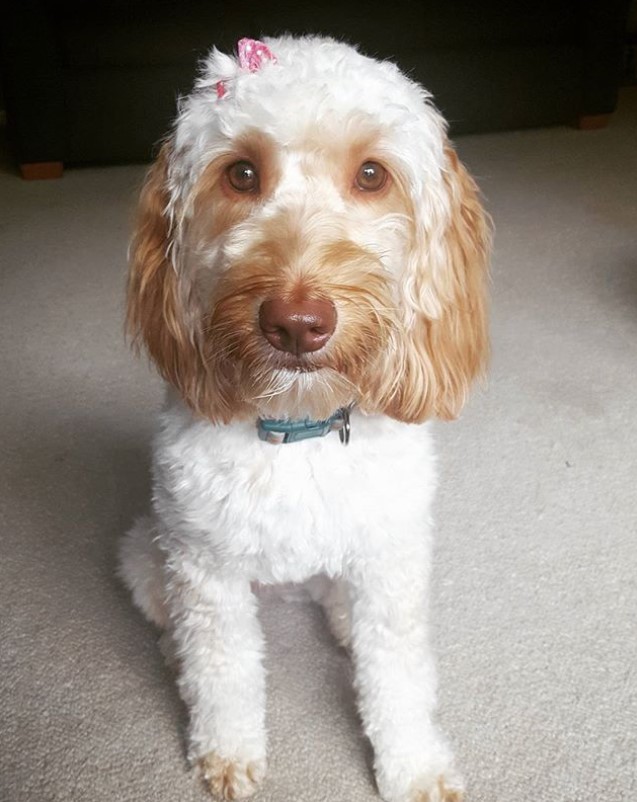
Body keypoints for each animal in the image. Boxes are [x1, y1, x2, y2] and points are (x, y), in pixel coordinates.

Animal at [118, 36, 486, 800]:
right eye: (241, 173)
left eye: (372, 174)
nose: (295, 323)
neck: (298, 427)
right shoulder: (204, 569)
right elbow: (223, 672)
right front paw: (226, 750)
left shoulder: (389, 558)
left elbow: (398, 675)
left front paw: (413, 765)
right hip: (146, 551)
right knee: (174, 623)